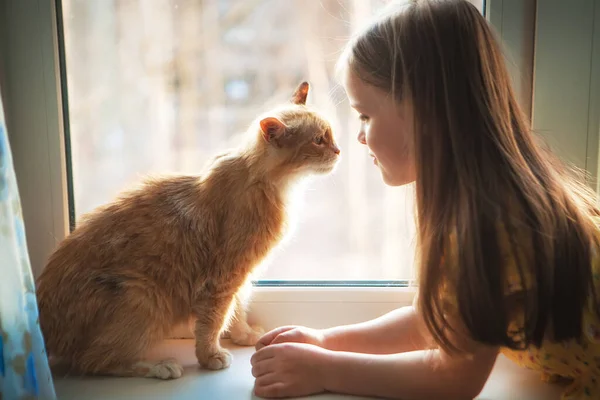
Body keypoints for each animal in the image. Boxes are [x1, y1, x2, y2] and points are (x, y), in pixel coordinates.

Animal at [35, 83, 340, 380]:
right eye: (318, 140)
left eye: (331, 134)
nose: (338, 151)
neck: (268, 184)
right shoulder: (224, 277)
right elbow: (215, 321)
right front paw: (210, 356)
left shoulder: (240, 277)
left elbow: (237, 310)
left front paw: (243, 335)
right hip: (143, 295)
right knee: (94, 361)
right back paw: (159, 367)